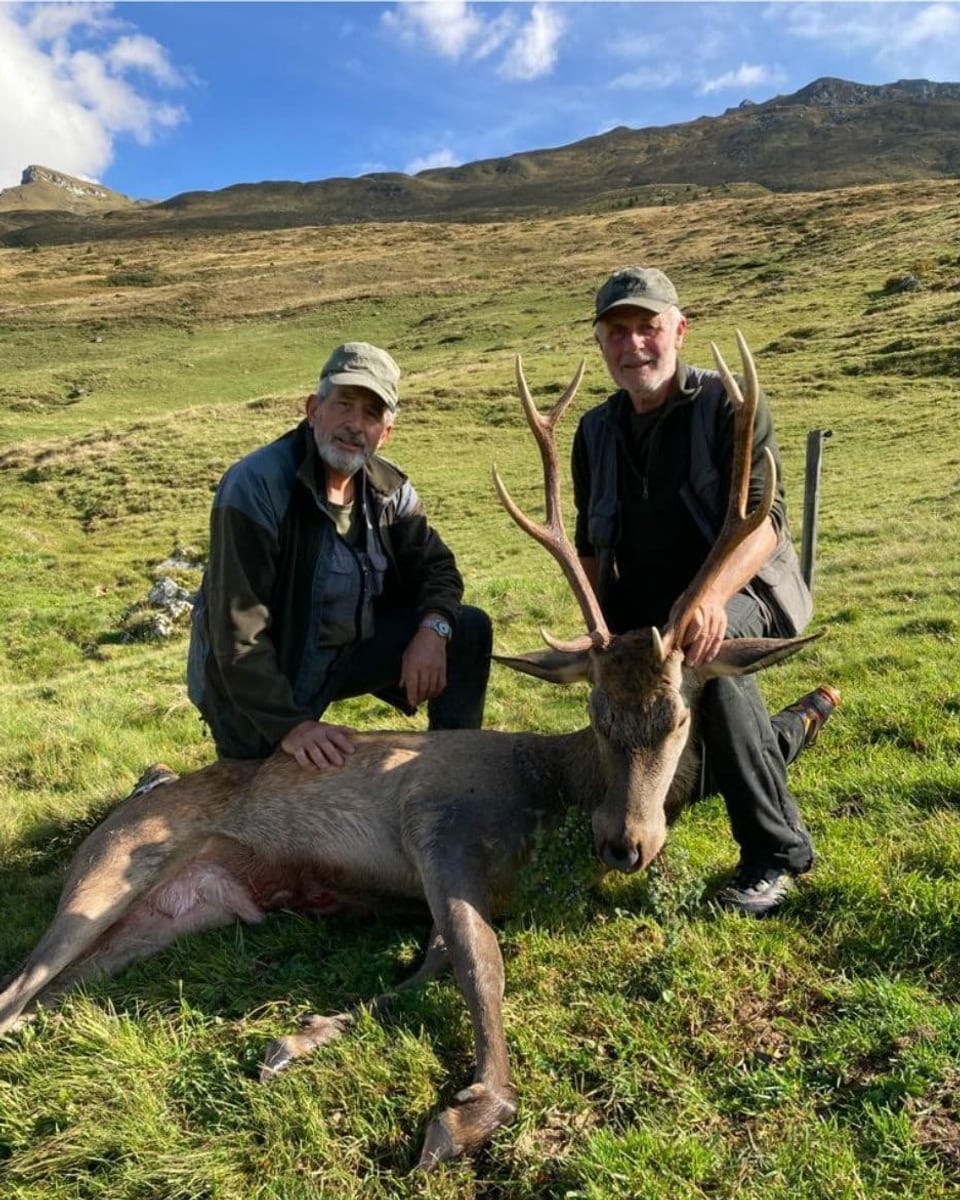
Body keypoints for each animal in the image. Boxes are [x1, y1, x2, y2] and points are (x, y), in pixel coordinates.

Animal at [0, 331, 816, 1171]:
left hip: (169, 916)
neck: (544, 795)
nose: (625, 843)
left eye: (680, 717)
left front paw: (301, 1038)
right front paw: (468, 1109)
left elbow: (437, 958)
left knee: (50, 994)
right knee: (14, 989)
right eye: (594, 712)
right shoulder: (436, 818)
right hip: (108, 871)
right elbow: (478, 961)